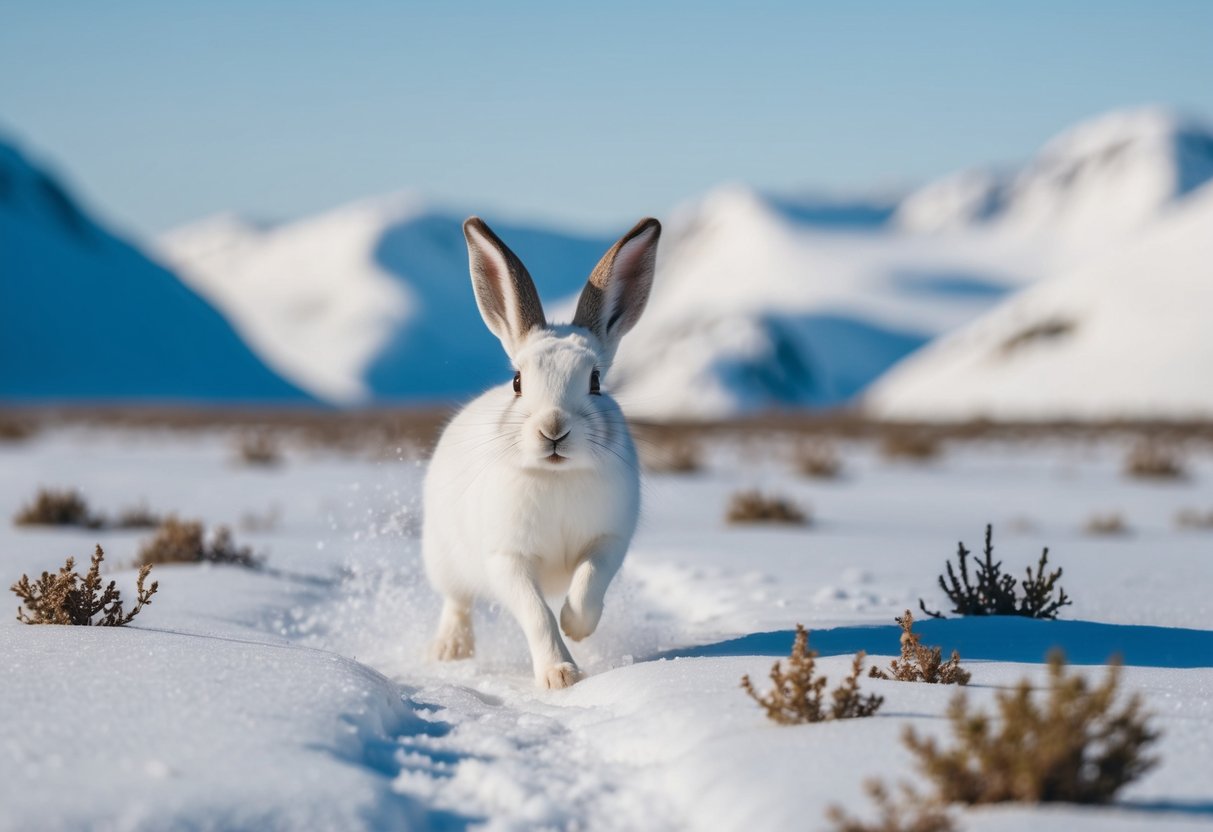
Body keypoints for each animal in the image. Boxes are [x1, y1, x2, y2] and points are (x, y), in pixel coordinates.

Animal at [422, 215, 661, 689]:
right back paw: (451, 651)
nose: (553, 429)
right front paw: (561, 675)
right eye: (517, 381)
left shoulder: (607, 541)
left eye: (595, 381)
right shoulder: (507, 557)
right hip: (443, 554)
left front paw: (575, 625)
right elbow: (535, 614)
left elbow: (588, 583)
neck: (556, 475)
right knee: (456, 601)